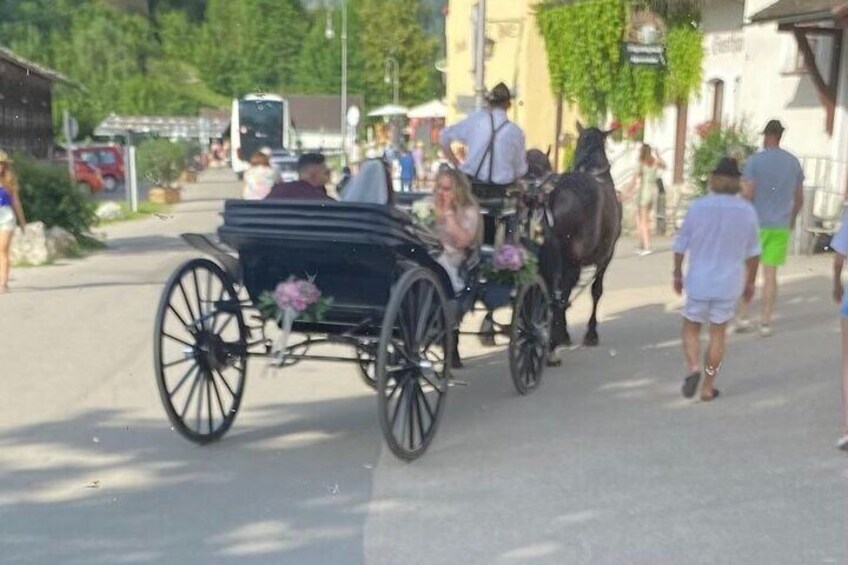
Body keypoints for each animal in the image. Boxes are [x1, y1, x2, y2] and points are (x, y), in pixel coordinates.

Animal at [536, 124, 624, 354]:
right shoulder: (606, 256)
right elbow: (596, 291)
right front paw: (591, 333)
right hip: (571, 257)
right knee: (561, 290)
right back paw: (556, 336)